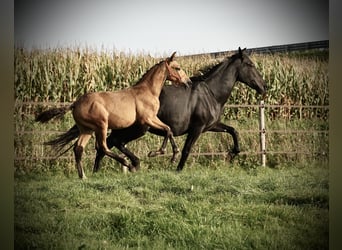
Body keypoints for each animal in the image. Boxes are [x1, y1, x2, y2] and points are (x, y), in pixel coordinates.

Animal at [35, 52, 191, 178]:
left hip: (87, 129)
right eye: (177, 68)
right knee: (102, 147)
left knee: (79, 149)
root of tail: (75, 104)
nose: (188, 82)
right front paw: (159, 153)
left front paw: (170, 155)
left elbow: (168, 130)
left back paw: (83, 176)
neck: (148, 91)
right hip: (101, 126)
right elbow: (167, 130)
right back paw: (128, 164)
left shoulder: (152, 119)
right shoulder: (148, 119)